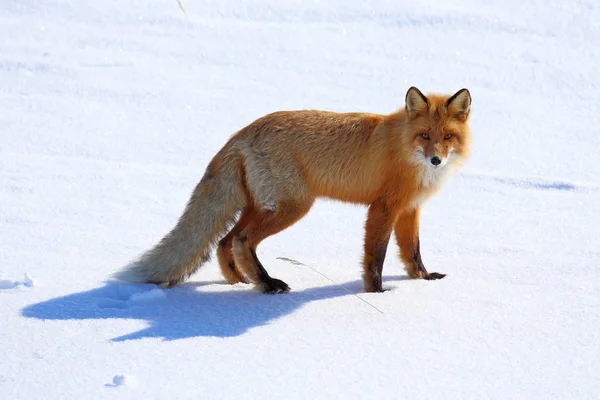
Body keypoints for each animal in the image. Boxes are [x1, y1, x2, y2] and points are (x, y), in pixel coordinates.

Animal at [115, 87, 472, 292]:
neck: (403, 150)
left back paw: (240, 283)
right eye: (424, 136)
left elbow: (412, 252)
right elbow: (376, 258)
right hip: (293, 207)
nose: (436, 160)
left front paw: (423, 282)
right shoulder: (382, 208)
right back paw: (267, 284)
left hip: (260, 206)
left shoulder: (410, 209)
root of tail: (241, 133)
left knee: (224, 242)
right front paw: (377, 293)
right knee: (241, 240)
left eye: (447, 136)